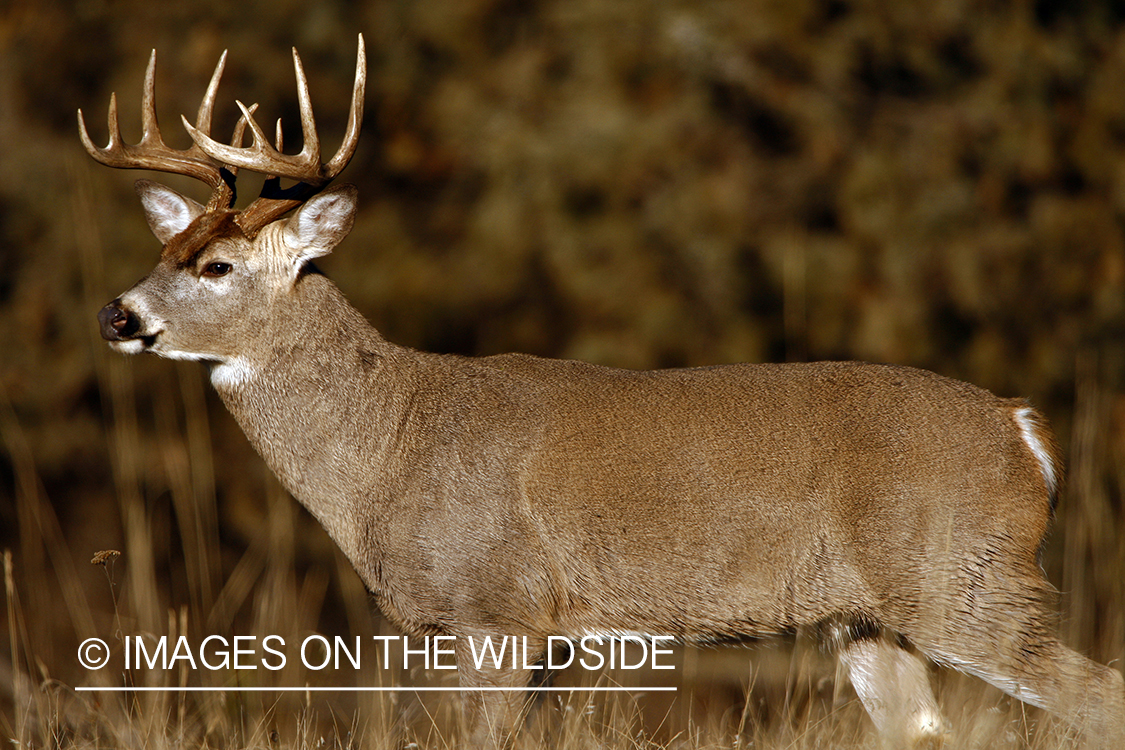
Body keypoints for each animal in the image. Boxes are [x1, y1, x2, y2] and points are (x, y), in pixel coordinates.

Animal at [81, 36, 1125, 750]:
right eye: (161, 253)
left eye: (215, 267)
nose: (117, 315)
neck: (389, 443)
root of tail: (1024, 430)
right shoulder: (522, 631)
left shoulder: (496, 608)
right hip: (870, 618)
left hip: (962, 577)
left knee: (1097, 696)